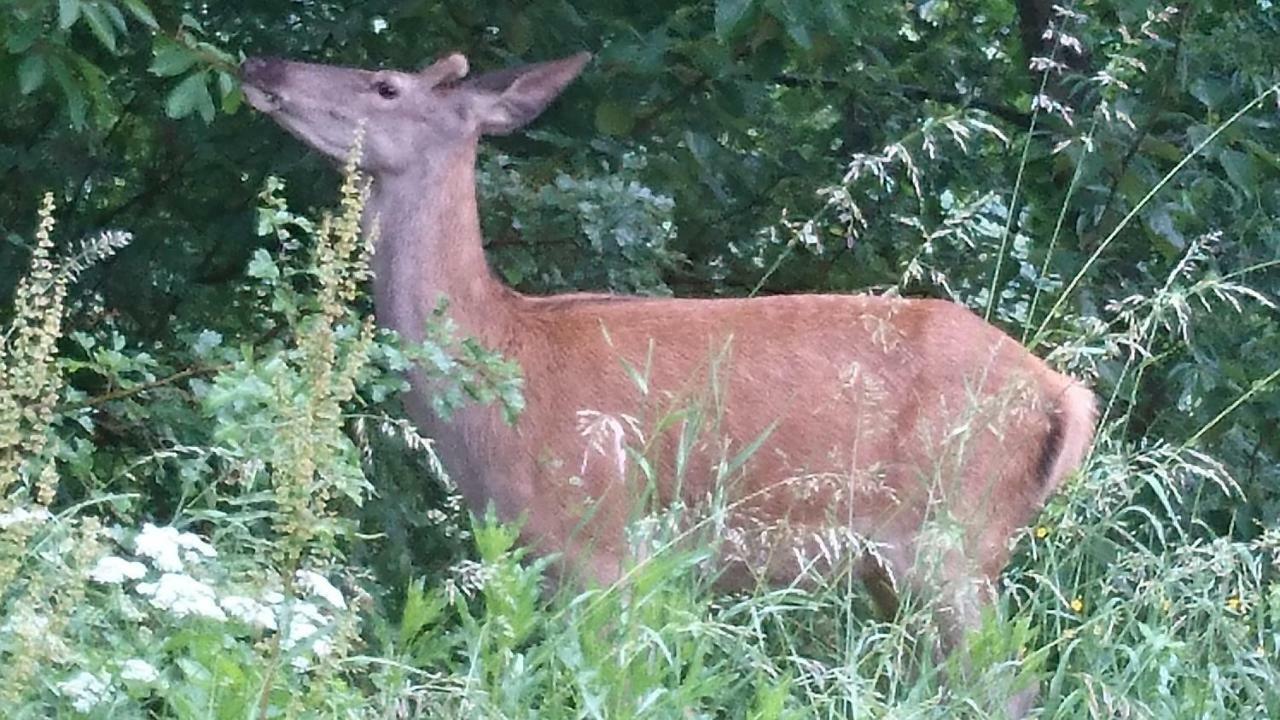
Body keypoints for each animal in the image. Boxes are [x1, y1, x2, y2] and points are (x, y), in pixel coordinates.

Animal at [241, 51, 1100, 712]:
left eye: (386, 85)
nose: (260, 64)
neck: (503, 379)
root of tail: (1066, 397)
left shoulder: (604, 540)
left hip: (955, 532)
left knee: (1011, 683)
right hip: (904, 563)